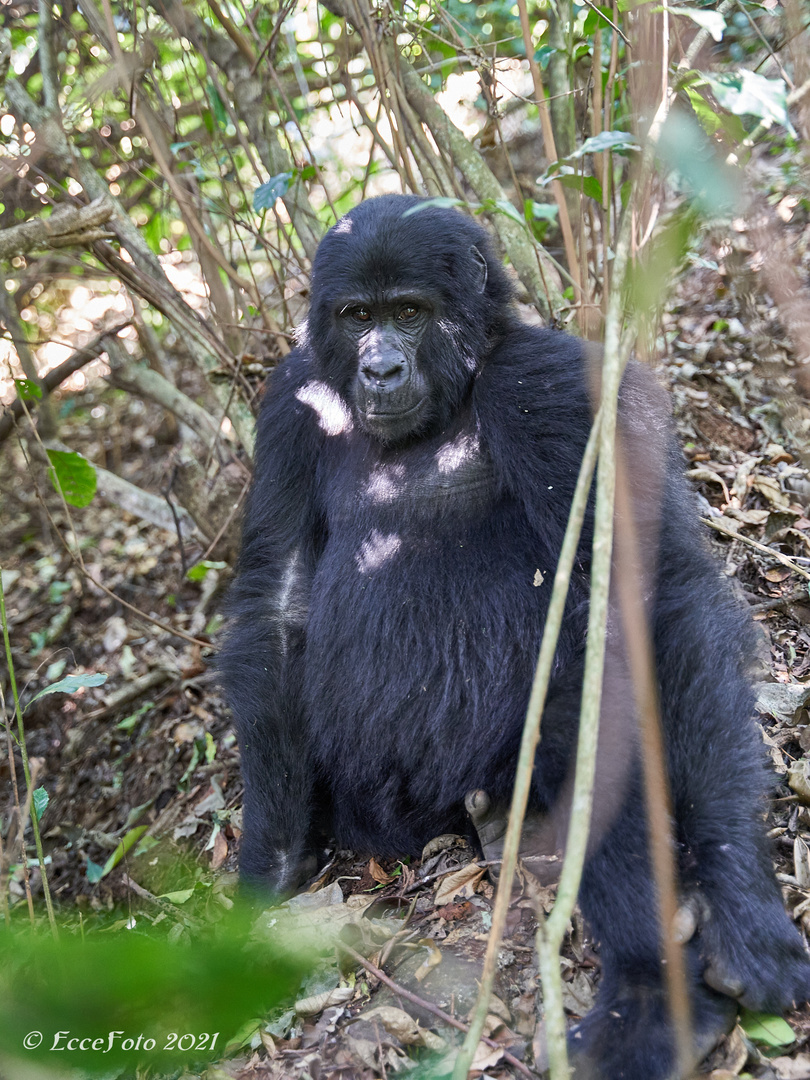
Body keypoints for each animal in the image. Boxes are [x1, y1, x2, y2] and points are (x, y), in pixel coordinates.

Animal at [220, 196, 810, 1080]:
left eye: (409, 313)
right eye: (357, 317)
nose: (380, 369)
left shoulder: (549, 386)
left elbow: (645, 592)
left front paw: (743, 902)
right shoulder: (291, 402)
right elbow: (278, 601)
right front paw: (274, 855)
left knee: (589, 728)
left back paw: (653, 1000)